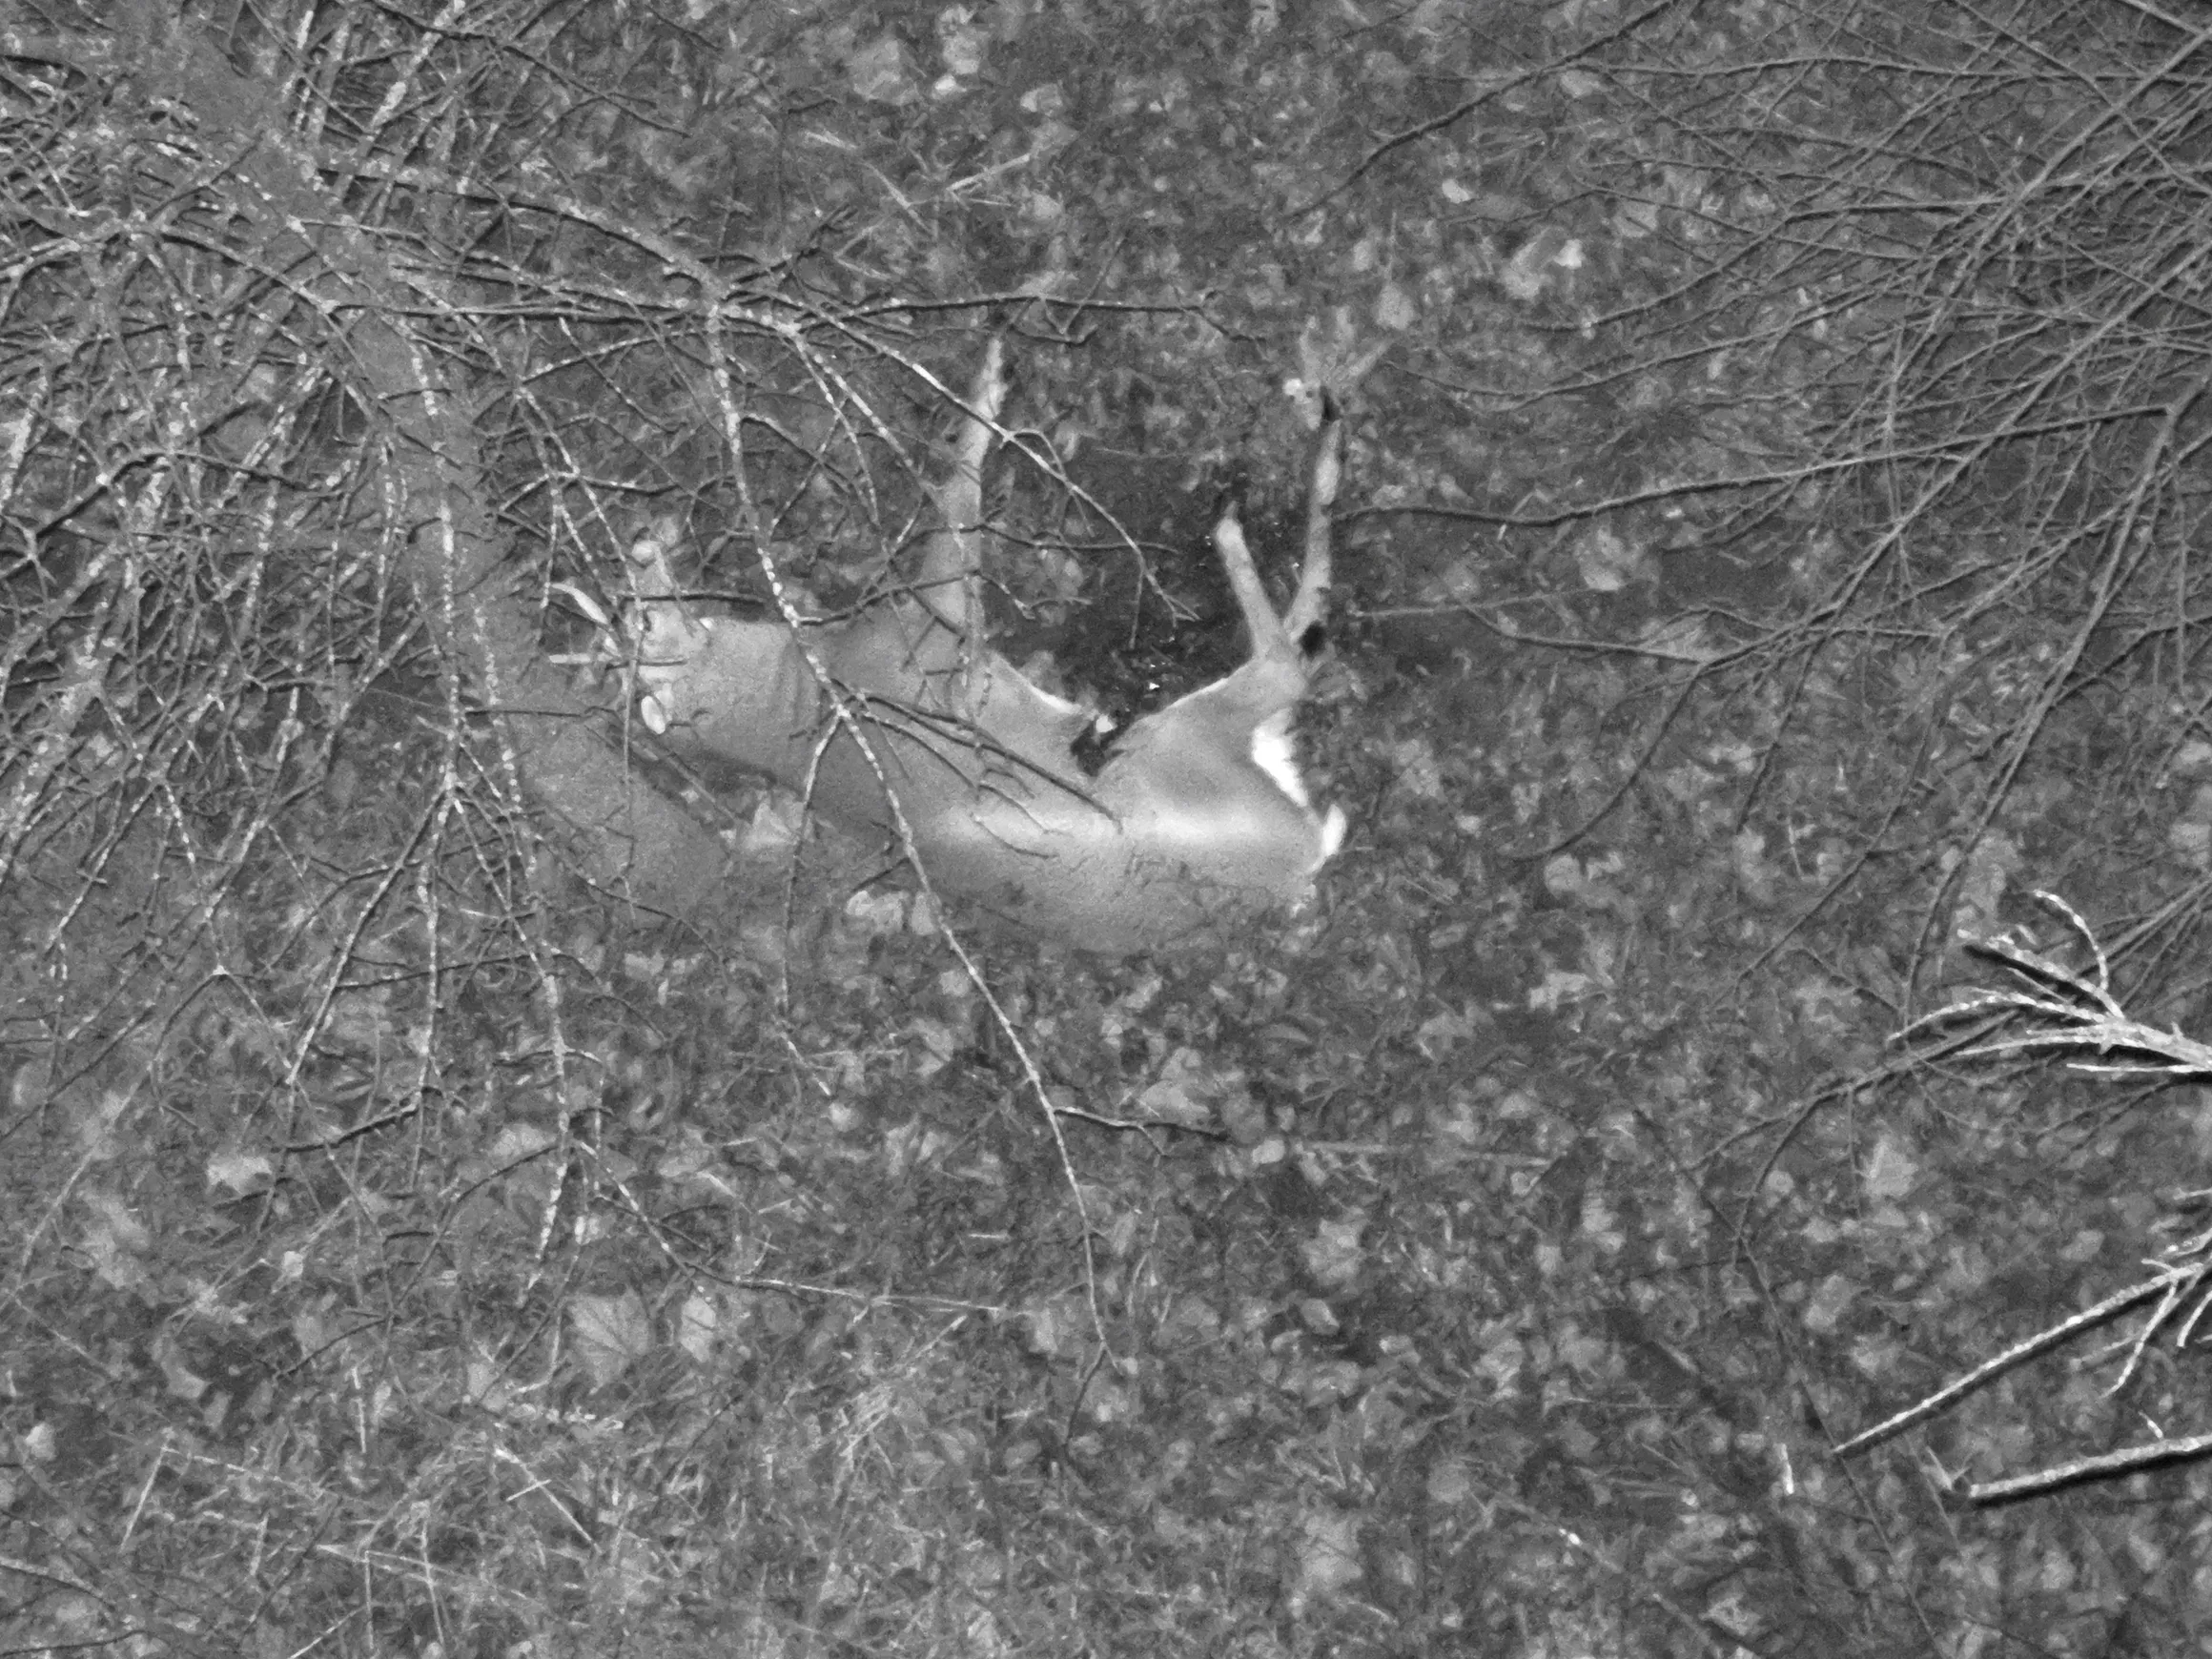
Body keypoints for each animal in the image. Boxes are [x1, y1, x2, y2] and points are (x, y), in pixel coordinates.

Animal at [617, 337, 1351, 956]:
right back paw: (1259, 491)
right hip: (1178, 745)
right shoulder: (930, 636)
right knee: (1289, 660)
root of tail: (1294, 867)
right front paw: (994, 374)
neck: (802, 694)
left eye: (640, 620)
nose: (642, 547)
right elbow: (956, 505)